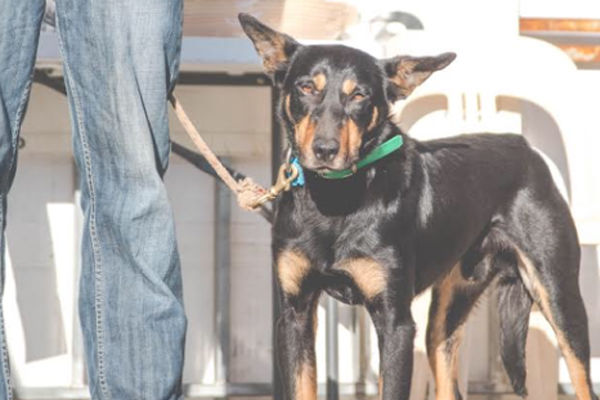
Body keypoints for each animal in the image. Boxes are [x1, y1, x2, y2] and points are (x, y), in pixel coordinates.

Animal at [238, 12, 596, 400]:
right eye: (306, 88)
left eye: (359, 95)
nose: (325, 149)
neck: (336, 200)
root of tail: (525, 148)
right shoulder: (295, 313)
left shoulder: (395, 322)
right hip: (446, 315)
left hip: (559, 296)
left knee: (582, 377)